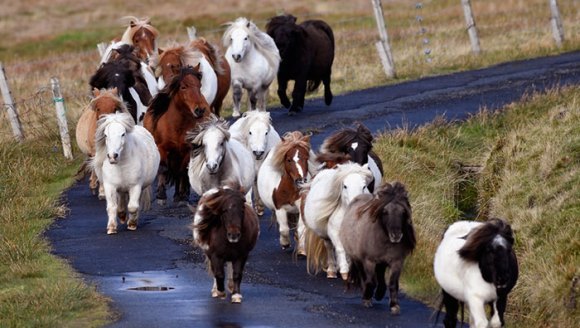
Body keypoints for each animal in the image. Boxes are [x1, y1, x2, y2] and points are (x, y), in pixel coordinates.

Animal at [144, 65, 212, 205]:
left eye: (199, 85)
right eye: (183, 87)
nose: (200, 110)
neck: (177, 126)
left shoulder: (187, 149)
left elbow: (181, 171)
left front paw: (181, 196)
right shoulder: (162, 147)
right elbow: (163, 168)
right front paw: (161, 195)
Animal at [340, 183, 416, 314]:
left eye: (403, 212)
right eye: (385, 211)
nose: (396, 235)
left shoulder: (396, 262)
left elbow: (392, 283)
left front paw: (394, 305)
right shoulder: (369, 261)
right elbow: (370, 281)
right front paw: (367, 299)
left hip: (381, 263)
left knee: (380, 276)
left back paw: (379, 293)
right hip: (358, 260)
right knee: (364, 277)